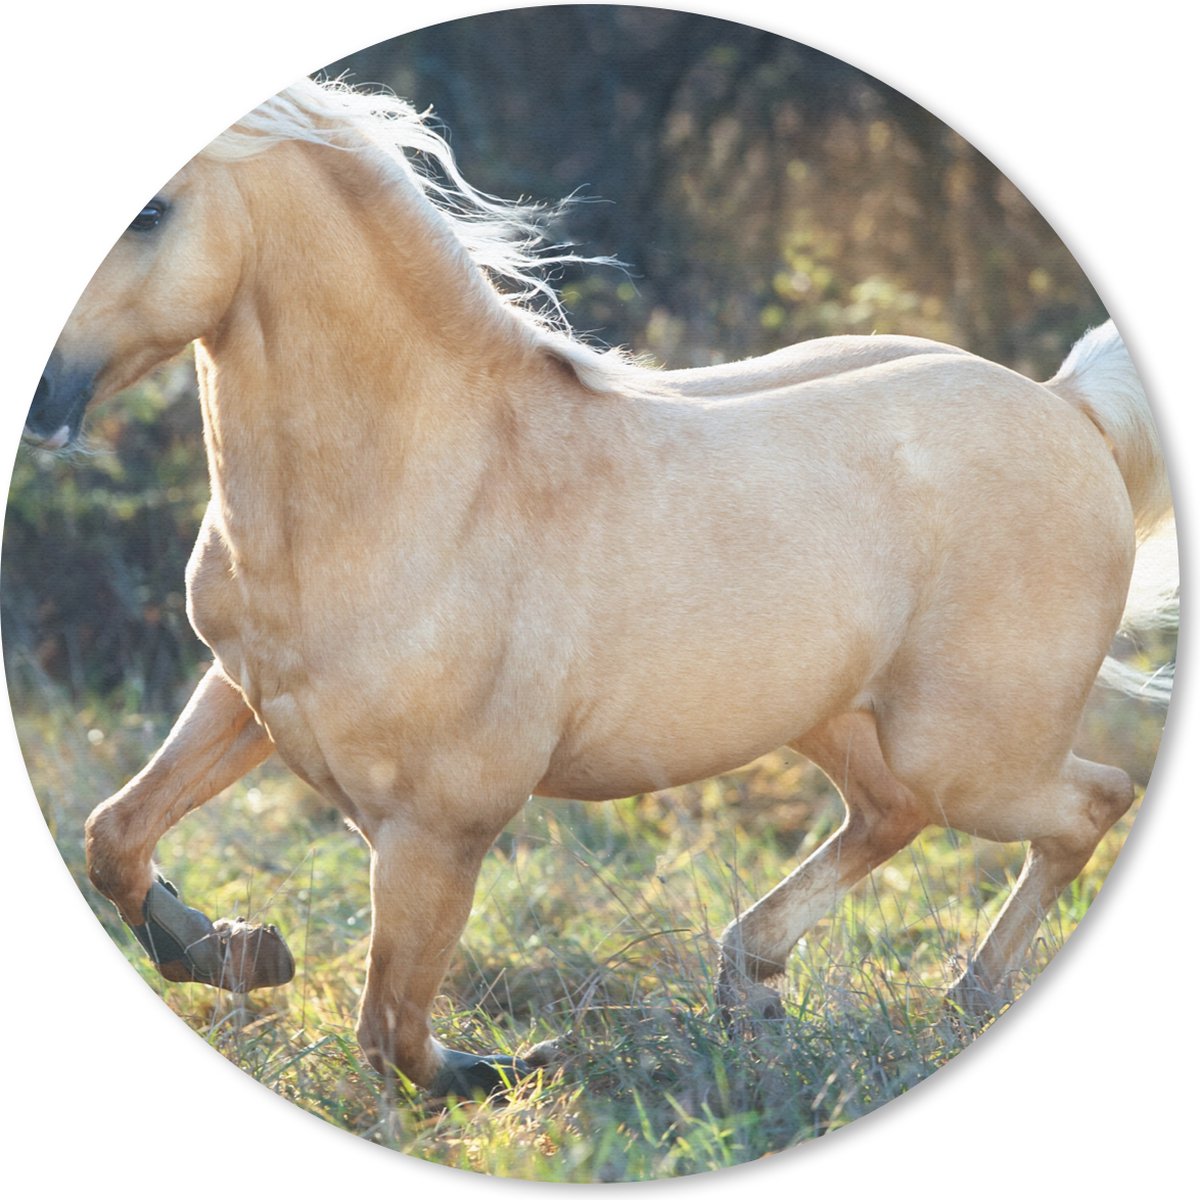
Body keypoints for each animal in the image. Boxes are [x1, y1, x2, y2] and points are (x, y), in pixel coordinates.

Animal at [26, 79, 1174, 1097]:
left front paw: (502, 1069)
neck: (419, 484)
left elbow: (392, 1032)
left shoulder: (440, 825)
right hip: (836, 716)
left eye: (149, 210)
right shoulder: (245, 695)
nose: (37, 403)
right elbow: (114, 837)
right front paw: (232, 945)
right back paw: (755, 981)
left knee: (1087, 804)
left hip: (970, 752)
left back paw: (964, 999)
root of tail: (1069, 409)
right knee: (893, 814)